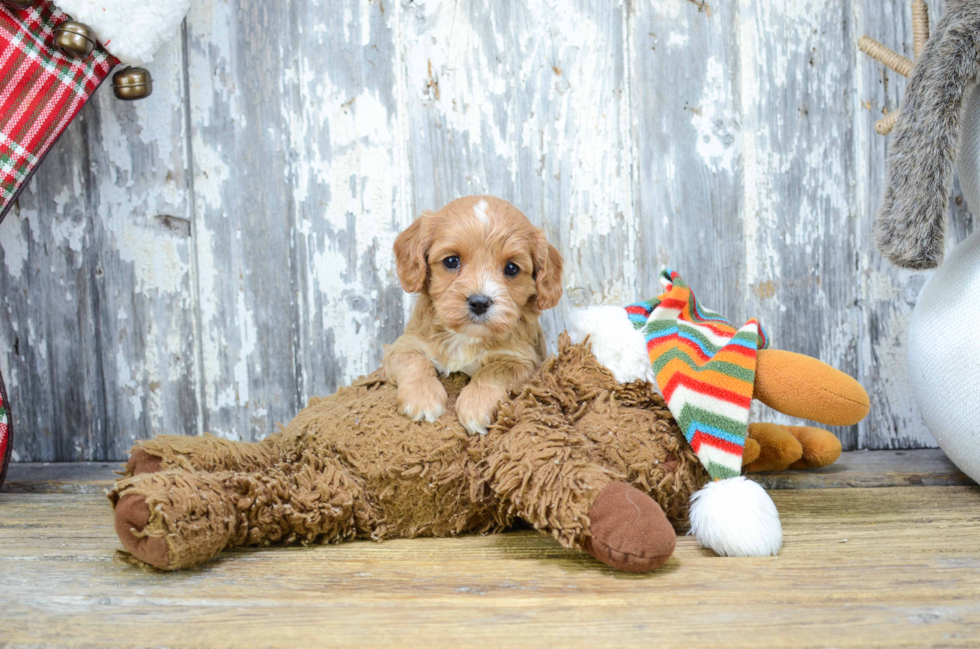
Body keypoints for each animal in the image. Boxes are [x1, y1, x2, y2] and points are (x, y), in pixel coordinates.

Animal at [384, 195, 564, 432]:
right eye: (451, 261)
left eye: (511, 268)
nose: (479, 303)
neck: (466, 337)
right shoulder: (404, 345)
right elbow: (414, 361)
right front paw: (422, 397)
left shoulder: (524, 361)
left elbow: (493, 371)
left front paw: (475, 406)